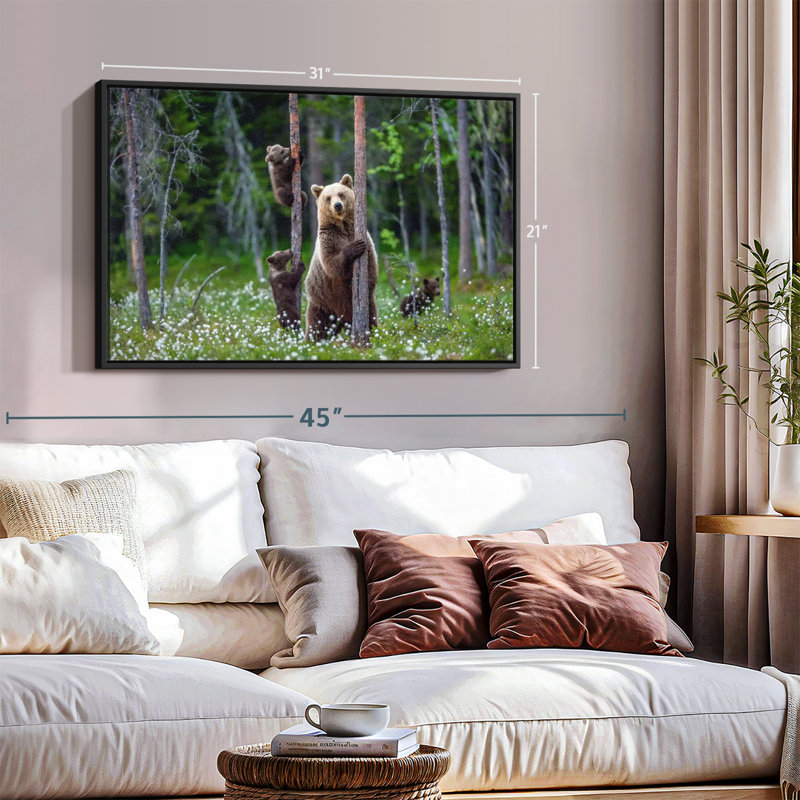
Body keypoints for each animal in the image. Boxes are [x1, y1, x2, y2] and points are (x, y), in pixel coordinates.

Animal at [305, 174, 378, 340]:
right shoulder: (329, 239)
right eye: (328, 197)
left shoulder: (365, 238)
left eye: (341, 194)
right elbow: (332, 264)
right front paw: (354, 247)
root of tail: (342, 320)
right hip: (322, 301)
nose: (337, 205)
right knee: (316, 325)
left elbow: (371, 264)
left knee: (371, 316)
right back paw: (311, 341)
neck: (343, 227)